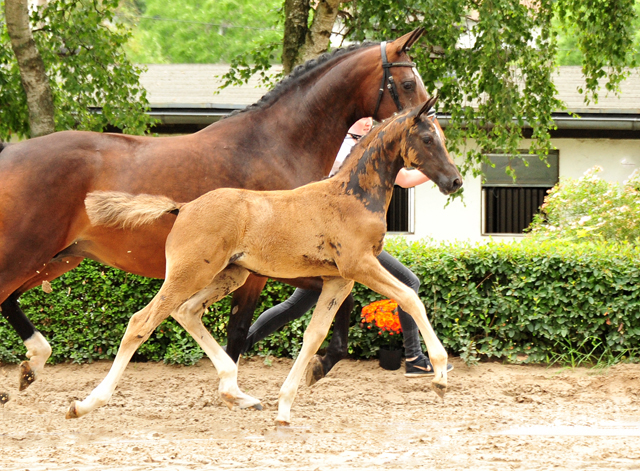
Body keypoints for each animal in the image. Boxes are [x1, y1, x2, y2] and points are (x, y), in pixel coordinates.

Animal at [1, 28, 430, 390]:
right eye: (408, 83)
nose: (431, 123)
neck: (276, 144)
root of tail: (10, 152)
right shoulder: (264, 269)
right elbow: (240, 329)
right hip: (25, 252)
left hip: (57, 257)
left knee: (8, 299)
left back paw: (32, 363)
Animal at [70, 97, 462, 426]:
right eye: (428, 139)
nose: (455, 181)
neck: (351, 196)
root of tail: (183, 207)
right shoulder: (359, 265)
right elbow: (410, 298)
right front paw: (441, 375)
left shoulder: (339, 279)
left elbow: (314, 335)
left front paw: (285, 406)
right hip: (189, 273)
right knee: (142, 321)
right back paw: (86, 404)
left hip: (231, 275)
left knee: (187, 312)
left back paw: (236, 393)